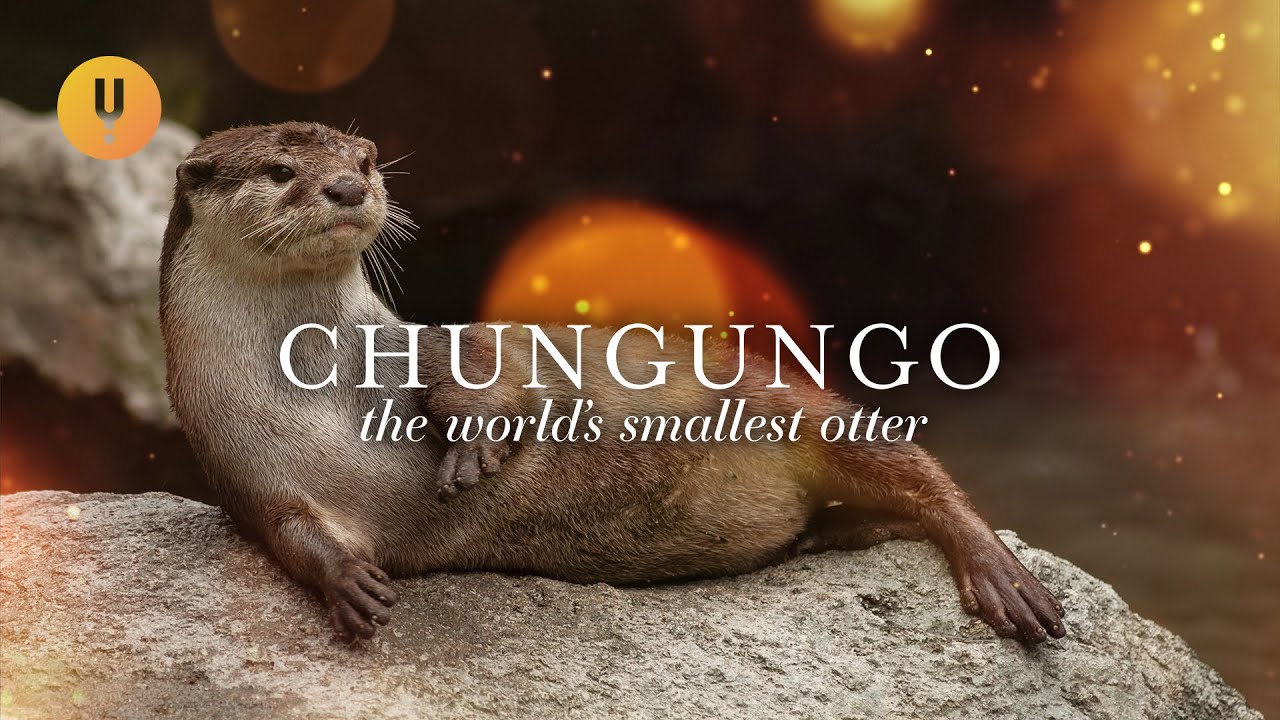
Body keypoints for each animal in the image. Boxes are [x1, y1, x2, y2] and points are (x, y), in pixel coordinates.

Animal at [159, 122, 1065, 645]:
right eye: (281, 170)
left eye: (367, 158)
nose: (349, 186)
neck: (320, 389)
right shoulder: (239, 462)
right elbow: (289, 533)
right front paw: (349, 586)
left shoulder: (429, 342)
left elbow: (492, 365)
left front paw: (473, 446)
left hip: (789, 407)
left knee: (916, 471)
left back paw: (1002, 576)